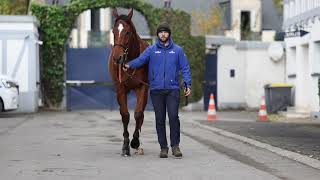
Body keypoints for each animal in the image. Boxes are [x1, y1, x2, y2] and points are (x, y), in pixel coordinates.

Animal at [109, 7, 150, 155]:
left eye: (127, 32)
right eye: (113, 31)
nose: (117, 58)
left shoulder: (142, 87)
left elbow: (138, 114)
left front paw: (135, 141)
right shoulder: (120, 88)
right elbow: (125, 115)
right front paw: (126, 145)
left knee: (141, 114)